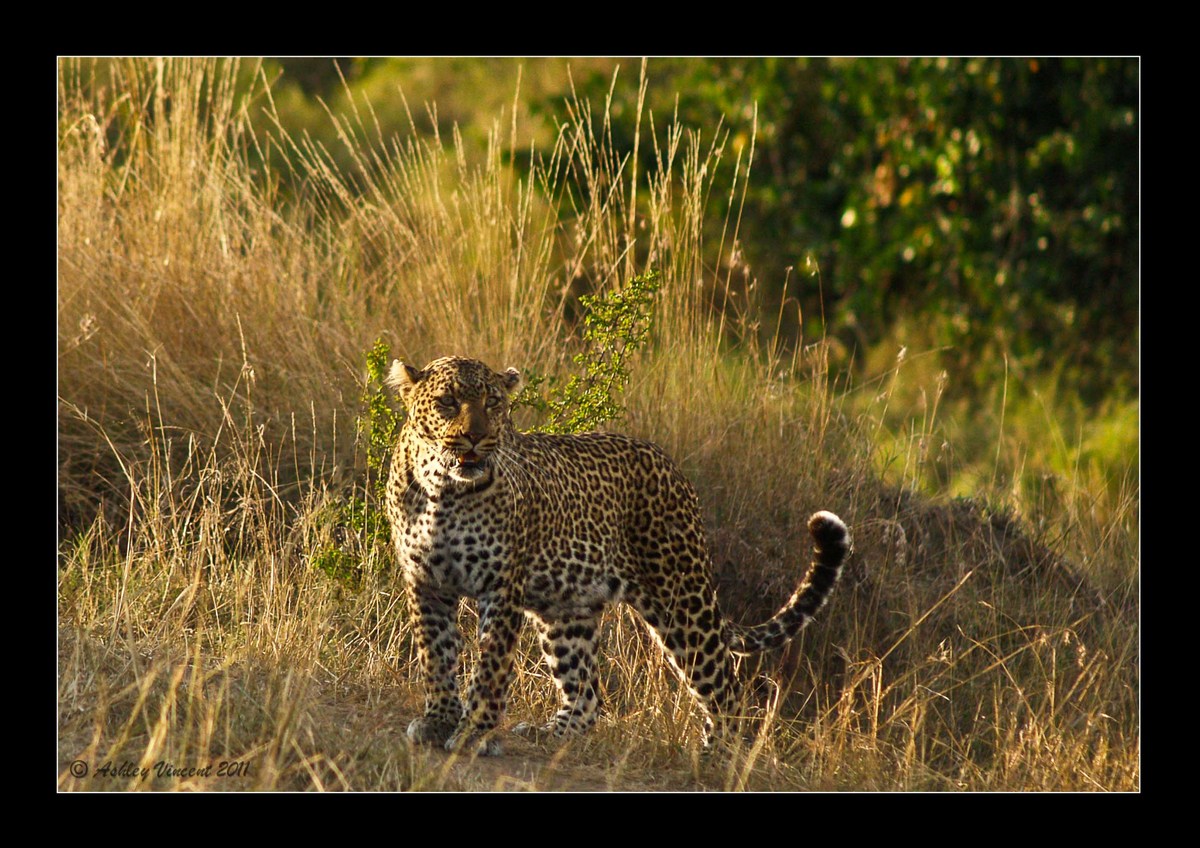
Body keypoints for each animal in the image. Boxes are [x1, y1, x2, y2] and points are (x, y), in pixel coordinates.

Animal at [384, 354, 851, 756]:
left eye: (493, 403)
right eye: (447, 402)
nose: (477, 437)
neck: (443, 490)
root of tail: (671, 466)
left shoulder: (501, 587)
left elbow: (490, 667)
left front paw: (474, 733)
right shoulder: (426, 583)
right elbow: (436, 655)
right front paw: (438, 721)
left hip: (680, 599)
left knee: (725, 686)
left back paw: (715, 755)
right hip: (566, 610)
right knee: (588, 693)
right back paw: (551, 733)